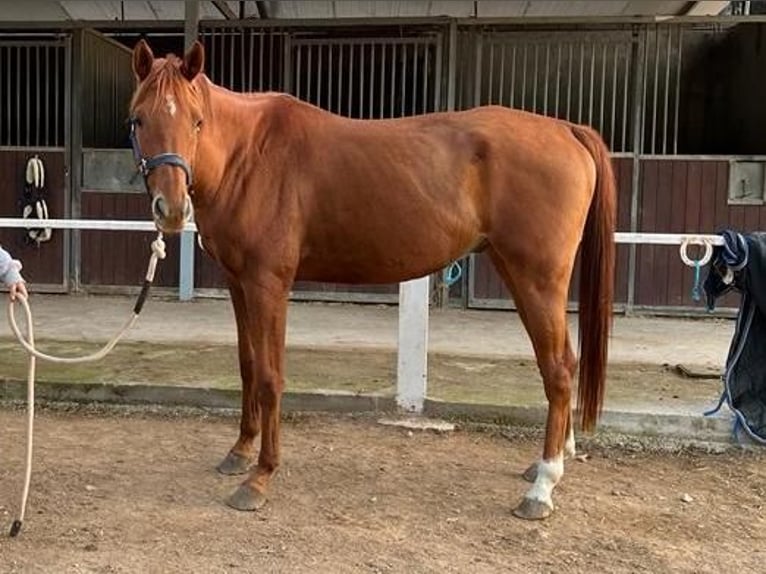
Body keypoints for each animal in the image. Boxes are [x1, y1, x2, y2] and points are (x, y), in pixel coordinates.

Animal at [127, 40, 616, 520]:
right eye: (139, 119)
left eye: (197, 121)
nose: (171, 209)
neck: (249, 155)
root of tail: (567, 129)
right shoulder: (238, 283)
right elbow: (248, 367)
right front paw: (240, 452)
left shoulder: (269, 284)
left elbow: (269, 376)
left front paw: (260, 477)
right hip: (521, 275)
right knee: (563, 362)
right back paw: (553, 460)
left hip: (536, 278)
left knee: (558, 369)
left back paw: (543, 486)